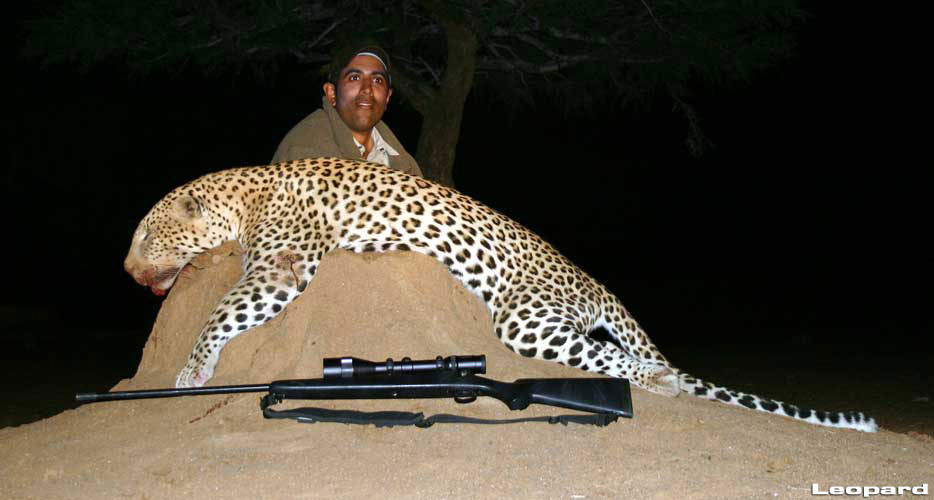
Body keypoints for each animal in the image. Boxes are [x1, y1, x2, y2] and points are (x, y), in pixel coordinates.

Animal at [124, 157, 878, 432]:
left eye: (146, 234)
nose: (128, 272)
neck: (244, 194)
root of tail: (592, 279)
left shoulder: (282, 267)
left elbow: (222, 313)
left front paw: (190, 371)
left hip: (523, 317)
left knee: (620, 359)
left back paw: (659, 381)